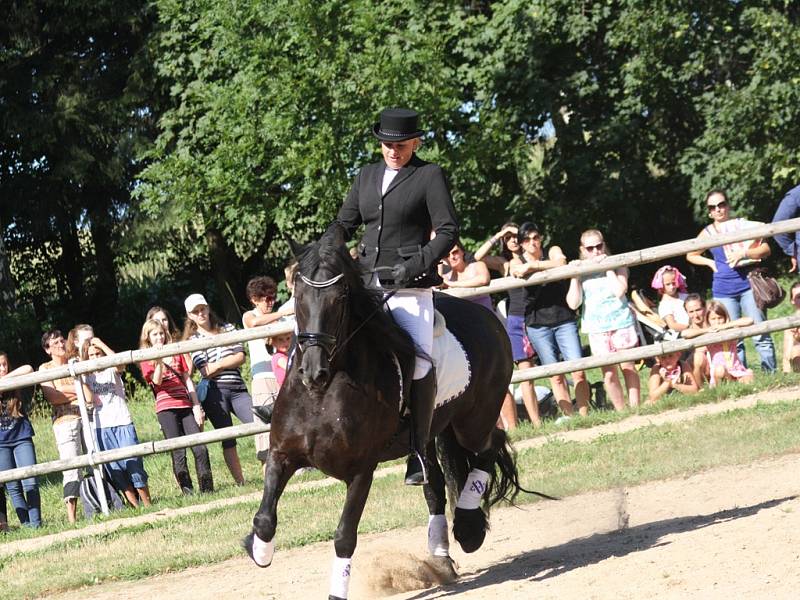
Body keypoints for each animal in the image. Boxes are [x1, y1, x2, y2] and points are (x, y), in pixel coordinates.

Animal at [244, 226, 532, 600]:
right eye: (298, 296)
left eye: (340, 297)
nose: (313, 372)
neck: (323, 393)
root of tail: (486, 316)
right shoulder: (282, 454)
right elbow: (265, 518)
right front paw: (257, 548)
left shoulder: (360, 472)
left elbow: (344, 536)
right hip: (432, 434)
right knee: (434, 484)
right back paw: (440, 557)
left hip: (473, 419)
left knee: (489, 447)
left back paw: (468, 530)